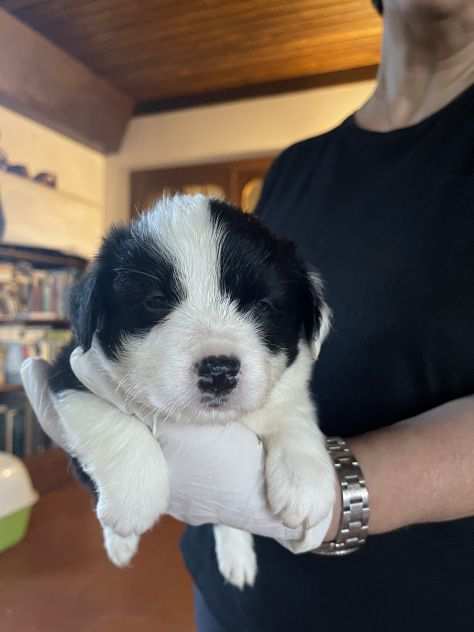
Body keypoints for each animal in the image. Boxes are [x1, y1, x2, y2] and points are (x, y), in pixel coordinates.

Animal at [49, 195, 334, 592]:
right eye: (155, 301)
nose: (219, 371)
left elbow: (290, 410)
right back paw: (120, 541)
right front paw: (133, 496)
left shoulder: (287, 389)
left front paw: (305, 480)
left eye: (263, 306)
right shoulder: (68, 366)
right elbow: (113, 422)